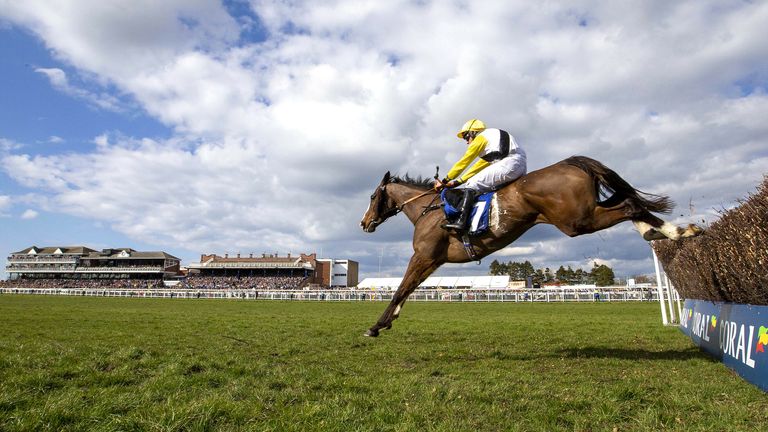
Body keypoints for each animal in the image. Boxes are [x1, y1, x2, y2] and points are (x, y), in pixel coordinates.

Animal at [360, 155, 704, 338]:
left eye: (372, 196)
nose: (364, 223)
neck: (427, 210)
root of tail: (570, 163)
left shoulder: (423, 255)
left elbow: (400, 289)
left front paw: (375, 326)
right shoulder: (431, 260)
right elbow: (408, 289)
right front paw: (387, 322)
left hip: (575, 220)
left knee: (629, 205)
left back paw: (674, 231)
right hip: (581, 214)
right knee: (627, 202)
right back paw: (668, 231)